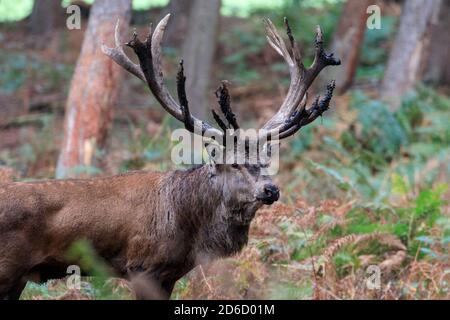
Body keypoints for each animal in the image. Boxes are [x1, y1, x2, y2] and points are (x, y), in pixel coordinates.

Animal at [0, 15, 340, 300]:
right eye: (233, 163)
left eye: (265, 161)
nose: (271, 189)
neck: (188, 224)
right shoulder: (142, 267)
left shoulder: (170, 276)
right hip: (7, 268)